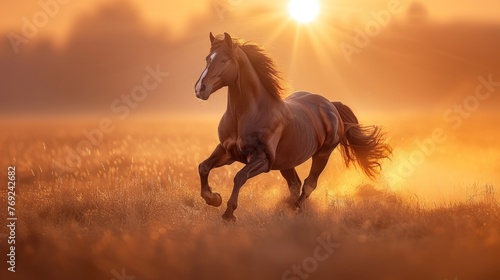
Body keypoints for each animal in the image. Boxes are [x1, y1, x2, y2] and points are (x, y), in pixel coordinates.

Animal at [193, 32, 392, 221]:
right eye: (207, 58)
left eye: (224, 60)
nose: (200, 88)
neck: (245, 116)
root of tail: (331, 105)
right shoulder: (227, 151)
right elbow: (203, 167)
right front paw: (213, 198)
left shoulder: (262, 159)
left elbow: (239, 176)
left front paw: (229, 214)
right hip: (286, 163)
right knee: (295, 185)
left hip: (322, 155)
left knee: (309, 184)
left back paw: (295, 209)